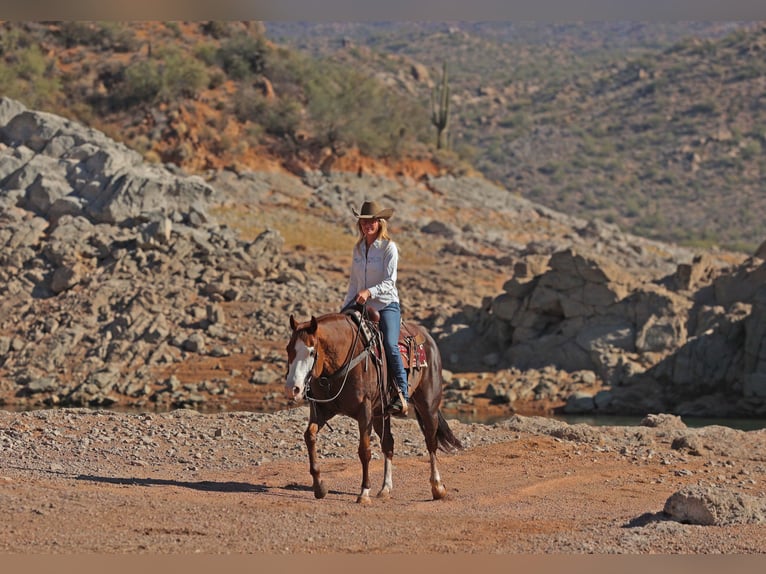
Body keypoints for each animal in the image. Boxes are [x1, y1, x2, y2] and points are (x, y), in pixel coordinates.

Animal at [282, 312, 462, 506]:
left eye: (311, 351)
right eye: (288, 349)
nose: (293, 389)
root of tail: (427, 338)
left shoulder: (364, 411)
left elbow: (364, 451)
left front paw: (364, 492)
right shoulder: (323, 410)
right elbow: (309, 436)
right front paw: (319, 487)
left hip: (428, 405)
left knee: (431, 441)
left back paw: (437, 487)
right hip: (380, 415)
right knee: (388, 444)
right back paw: (385, 488)